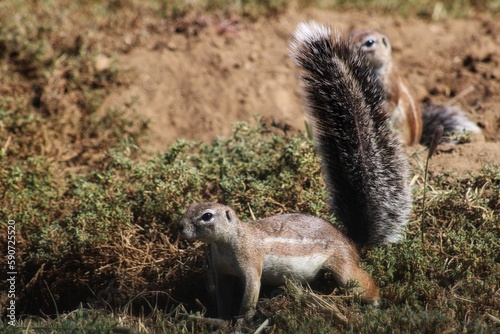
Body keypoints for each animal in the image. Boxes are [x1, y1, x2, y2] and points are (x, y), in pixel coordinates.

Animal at [179, 22, 410, 320]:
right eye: (189, 208)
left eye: (207, 216)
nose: (180, 227)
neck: (227, 242)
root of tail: (350, 241)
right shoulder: (221, 272)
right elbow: (222, 297)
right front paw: (219, 318)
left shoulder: (250, 263)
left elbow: (250, 293)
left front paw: (242, 321)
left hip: (343, 267)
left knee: (362, 282)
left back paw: (374, 305)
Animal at [348, 27, 480, 145]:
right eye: (351, 35)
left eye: (370, 42)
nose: (348, 47)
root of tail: (417, 141)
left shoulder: (389, 84)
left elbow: (391, 102)